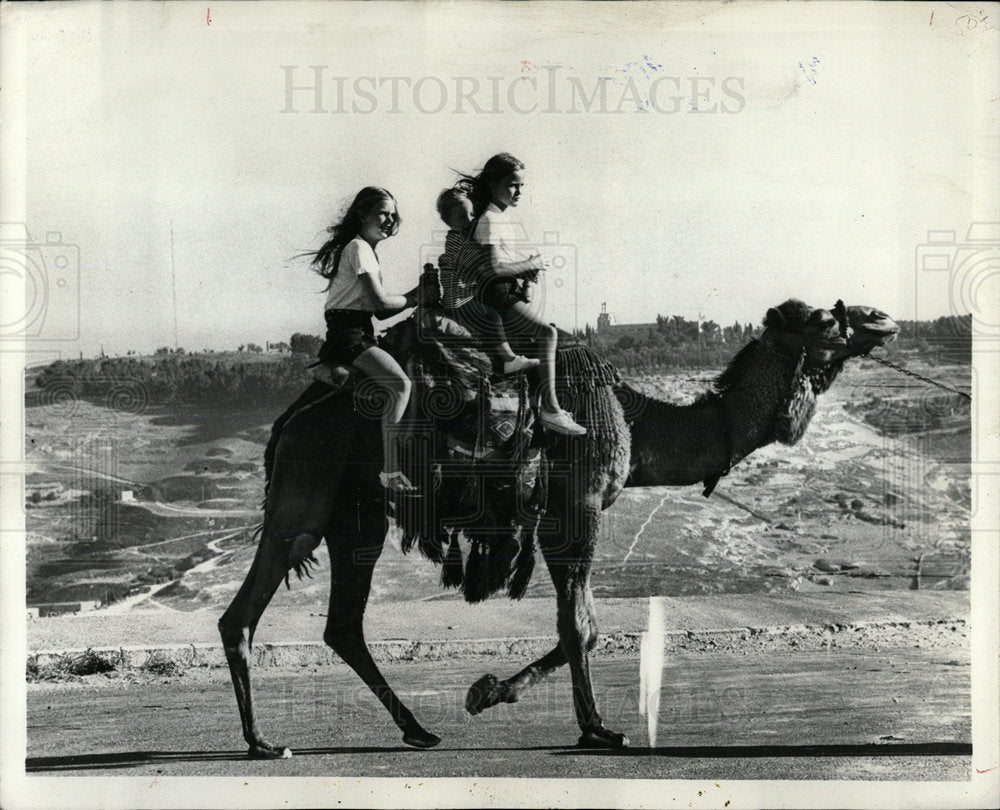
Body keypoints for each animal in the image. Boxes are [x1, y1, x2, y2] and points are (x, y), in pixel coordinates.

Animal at [217, 298, 900, 756]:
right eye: (825, 318)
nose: (881, 317)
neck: (633, 416)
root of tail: (290, 418)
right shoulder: (577, 507)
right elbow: (579, 626)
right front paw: (595, 728)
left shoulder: (565, 514)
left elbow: (587, 627)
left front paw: (489, 691)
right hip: (307, 490)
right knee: (250, 606)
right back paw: (262, 741)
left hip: (352, 514)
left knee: (340, 624)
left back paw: (414, 728)